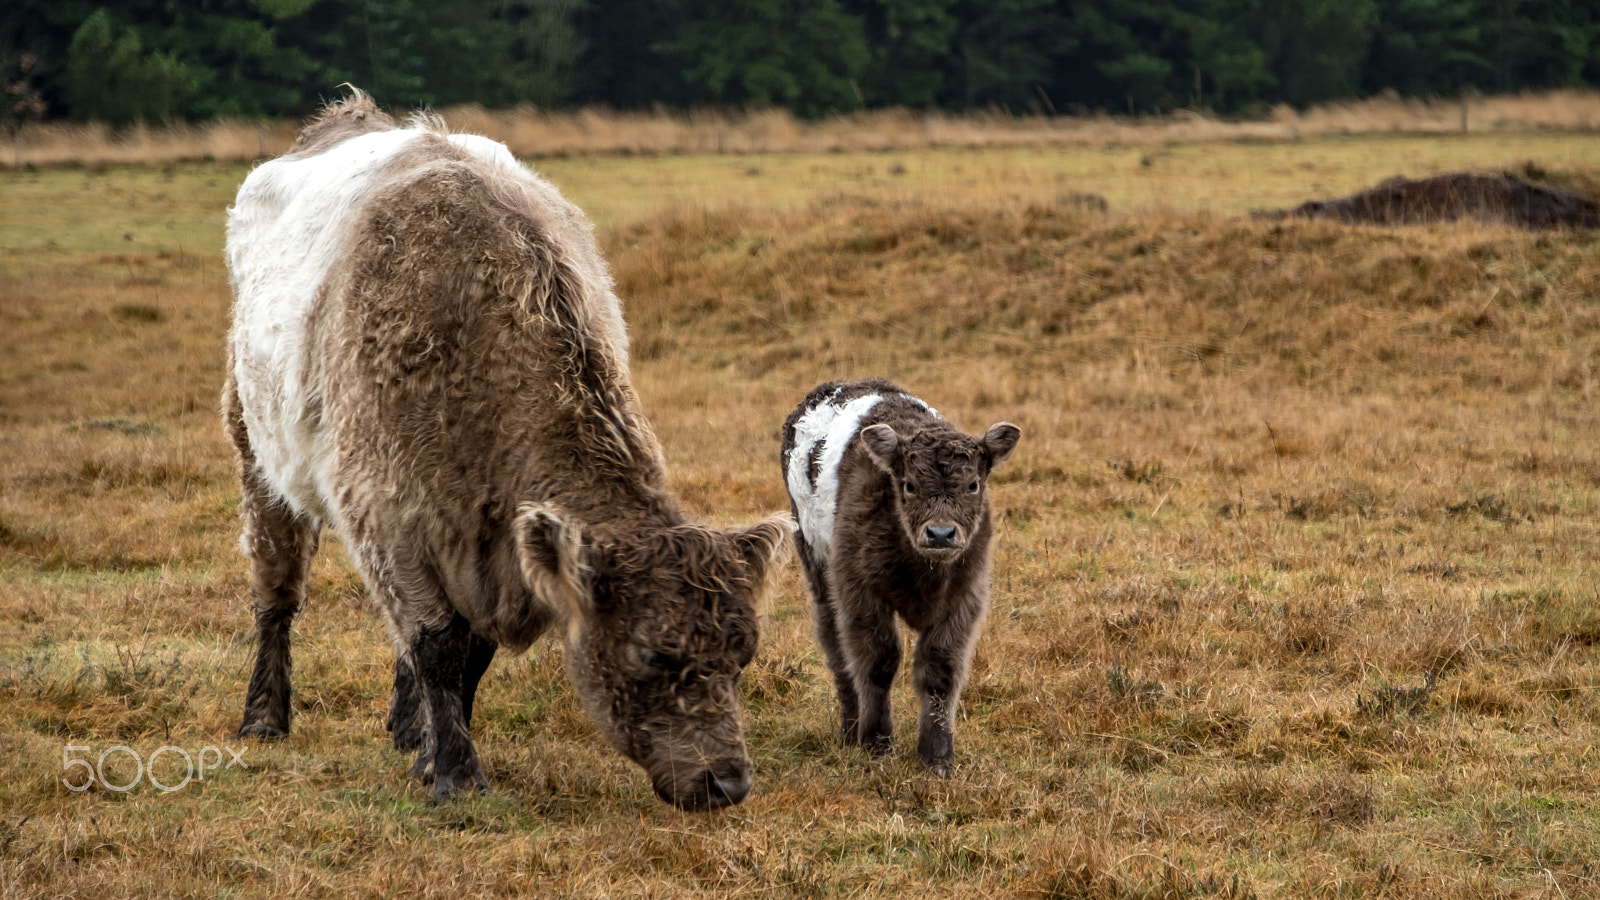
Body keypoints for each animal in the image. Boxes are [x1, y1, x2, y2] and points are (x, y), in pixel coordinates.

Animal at [224, 91, 787, 807]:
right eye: (651, 653)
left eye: (743, 655)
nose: (728, 781)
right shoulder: (386, 516)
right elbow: (437, 646)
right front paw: (455, 776)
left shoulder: (498, 552)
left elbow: (465, 657)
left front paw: (432, 753)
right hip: (255, 449)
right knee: (277, 589)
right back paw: (264, 716)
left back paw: (408, 729)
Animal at [777, 374, 1024, 775]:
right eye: (909, 485)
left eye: (973, 485)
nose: (941, 534)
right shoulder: (859, 589)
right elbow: (877, 660)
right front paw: (877, 743)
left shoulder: (965, 596)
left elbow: (940, 670)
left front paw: (937, 756)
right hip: (817, 564)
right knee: (837, 649)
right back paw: (851, 730)